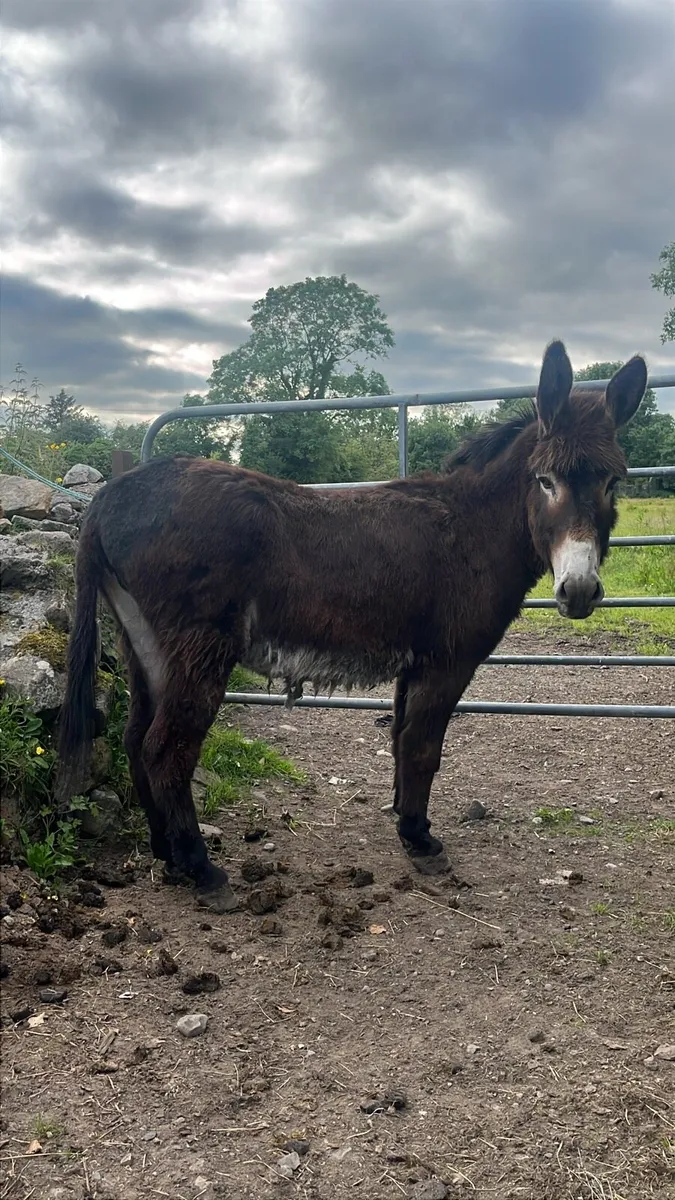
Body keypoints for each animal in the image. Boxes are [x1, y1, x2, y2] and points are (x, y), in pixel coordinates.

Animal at [55, 340, 647, 913]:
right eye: (545, 481)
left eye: (613, 482)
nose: (579, 592)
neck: (472, 530)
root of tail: (109, 497)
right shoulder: (448, 660)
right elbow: (424, 747)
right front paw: (421, 843)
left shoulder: (416, 661)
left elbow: (402, 740)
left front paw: (406, 822)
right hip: (199, 648)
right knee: (165, 750)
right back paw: (203, 871)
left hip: (144, 645)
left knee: (135, 739)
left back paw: (168, 855)